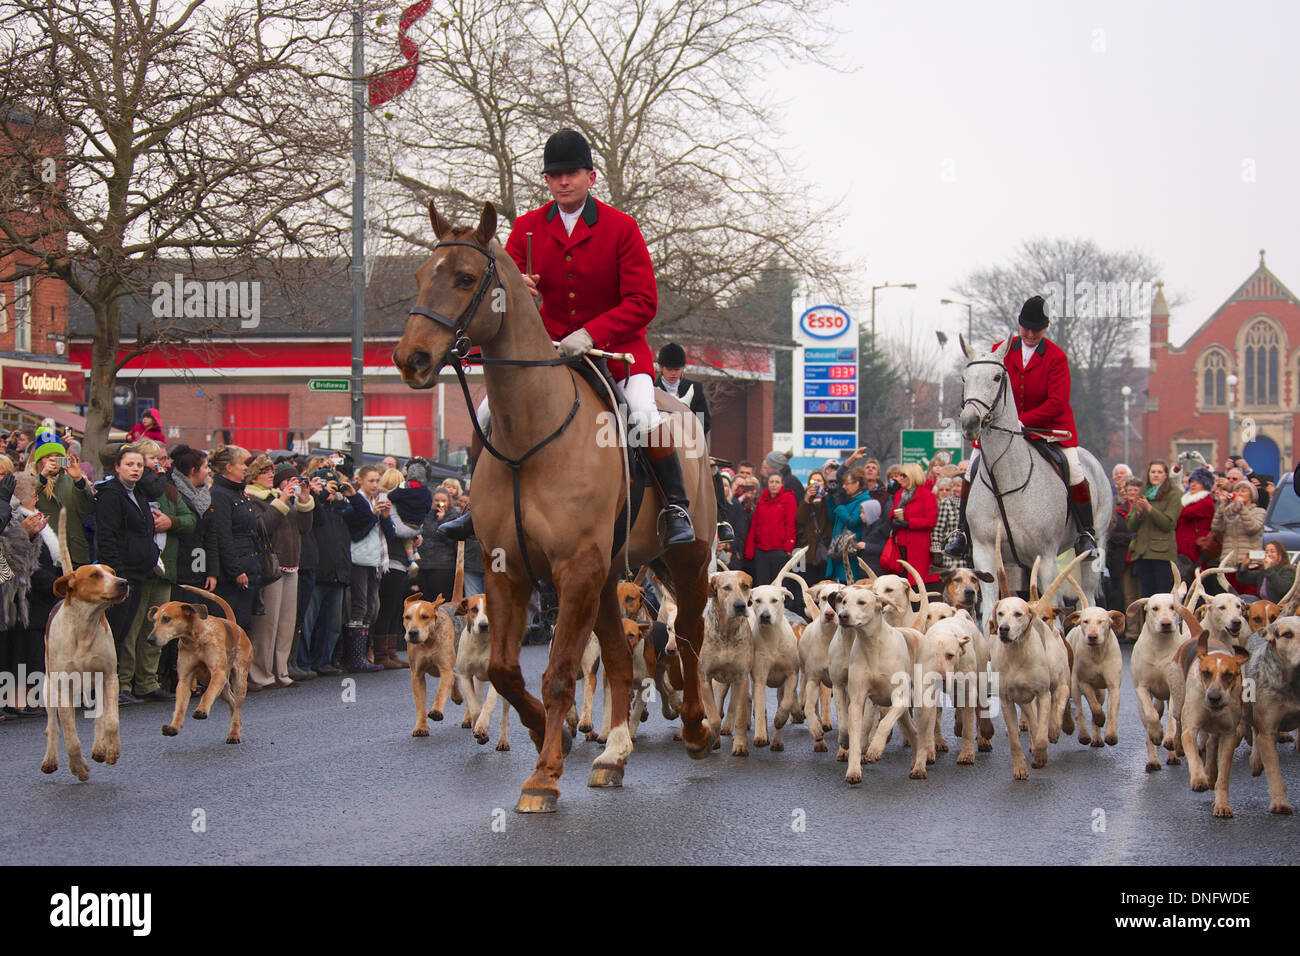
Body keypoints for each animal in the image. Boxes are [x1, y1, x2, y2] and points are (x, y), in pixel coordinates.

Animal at [390, 201, 717, 816]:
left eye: (465, 278)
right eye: (419, 276)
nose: (410, 359)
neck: (530, 437)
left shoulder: (574, 570)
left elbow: (560, 674)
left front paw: (543, 777)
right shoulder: (509, 570)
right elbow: (505, 671)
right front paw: (550, 733)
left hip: (685, 563)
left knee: (686, 639)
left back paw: (694, 729)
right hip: (611, 578)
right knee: (619, 657)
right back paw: (613, 753)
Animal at [961, 335, 1112, 629]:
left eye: (997, 377)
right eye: (964, 377)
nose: (969, 422)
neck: (1006, 480)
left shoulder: (1047, 558)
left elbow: (1049, 614)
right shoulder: (985, 554)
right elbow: (990, 613)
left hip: (1091, 550)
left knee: (1087, 597)